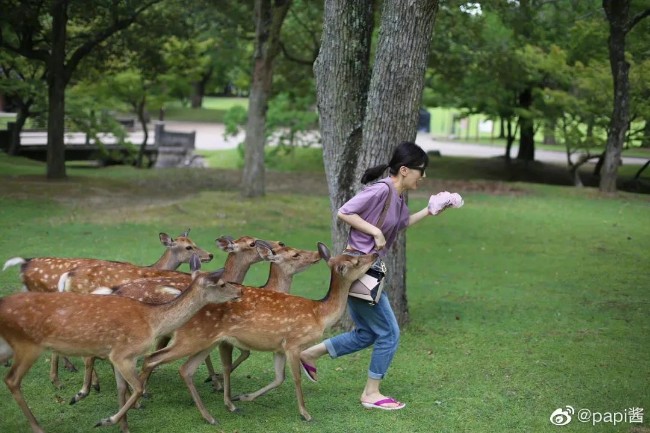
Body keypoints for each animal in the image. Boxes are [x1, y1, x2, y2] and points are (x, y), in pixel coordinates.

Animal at [0, 253, 240, 432]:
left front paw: (124, 426)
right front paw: (107, 420)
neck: (153, 320)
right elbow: (138, 387)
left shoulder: (120, 356)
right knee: (12, 379)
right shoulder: (123, 354)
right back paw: (40, 423)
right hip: (28, 347)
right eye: (221, 283)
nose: (239, 292)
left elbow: (122, 388)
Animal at [139, 243, 378, 422]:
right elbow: (296, 378)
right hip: (191, 338)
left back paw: (208, 415)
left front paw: (243, 397)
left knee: (185, 369)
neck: (319, 314)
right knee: (153, 358)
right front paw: (305, 413)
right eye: (356, 261)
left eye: (355, 255)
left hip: (205, 340)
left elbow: (279, 378)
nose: (375, 254)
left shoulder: (279, 347)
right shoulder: (293, 343)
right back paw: (140, 398)